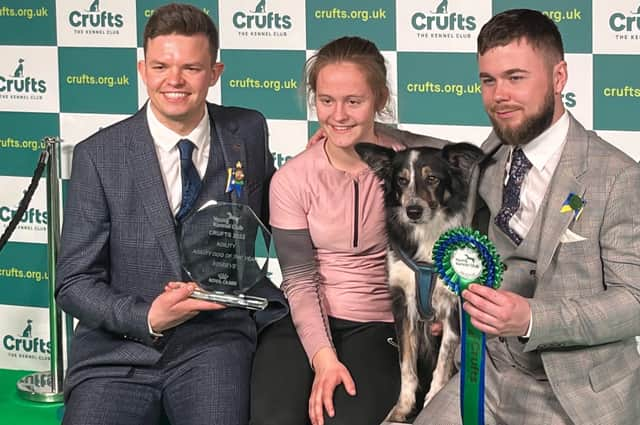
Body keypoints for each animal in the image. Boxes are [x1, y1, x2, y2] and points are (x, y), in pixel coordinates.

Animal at [356, 142, 484, 420]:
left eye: (432, 178)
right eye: (401, 180)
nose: (413, 211)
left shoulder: (452, 308)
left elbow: (445, 358)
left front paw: (432, 398)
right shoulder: (402, 303)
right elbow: (406, 362)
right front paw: (403, 406)